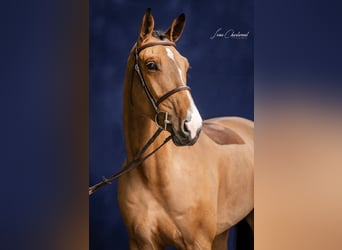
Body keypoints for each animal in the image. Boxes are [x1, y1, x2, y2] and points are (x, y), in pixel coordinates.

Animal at [117, 8, 254, 250]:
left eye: (186, 65)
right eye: (151, 65)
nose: (192, 126)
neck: (155, 176)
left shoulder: (197, 242)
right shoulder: (140, 243)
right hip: (222, 232)